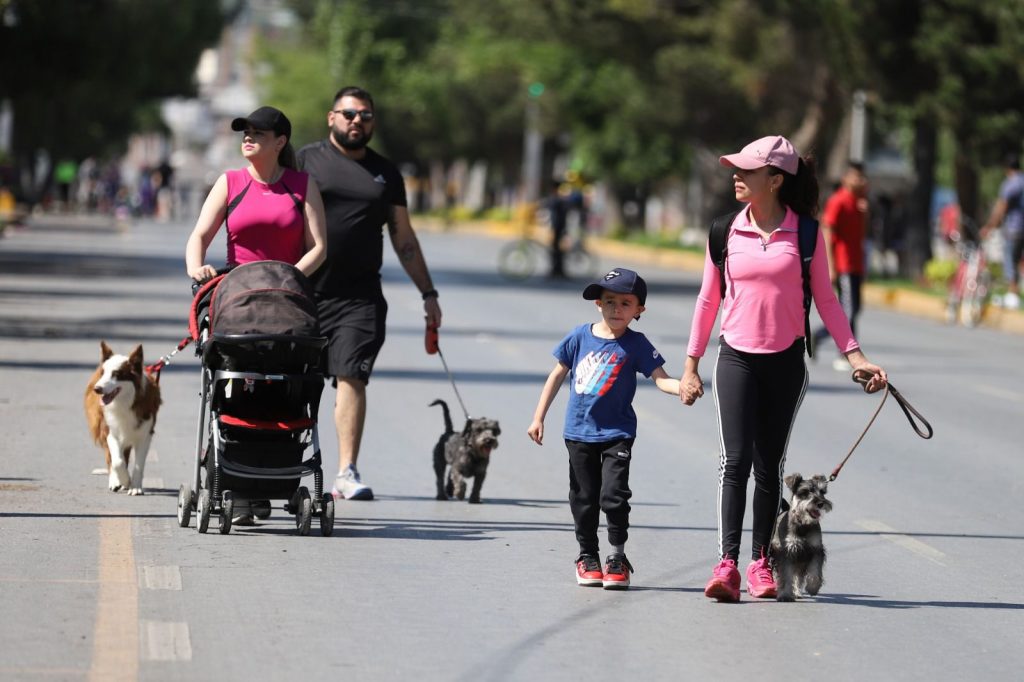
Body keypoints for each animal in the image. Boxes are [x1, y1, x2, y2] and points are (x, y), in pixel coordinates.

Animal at [84, 341, 162, 495]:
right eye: (103, 373)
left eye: (116, 374)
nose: (97, 389)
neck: (124, 403)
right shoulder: (110, 432)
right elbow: (117, 462)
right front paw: (124, 480)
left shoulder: (145, 435)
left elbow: (138, 465)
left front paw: (135, 486)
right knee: (112, 459)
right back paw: (115, 482)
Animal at [770, 473, 833, 601]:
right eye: (805, 491)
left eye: (822, 491)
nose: (820, 503)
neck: (803, 524)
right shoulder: (786, 552)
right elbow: (786, 575)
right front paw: (785, 595)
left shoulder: (816, 550)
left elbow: (815, 572)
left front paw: (813, 588)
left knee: (797, 577)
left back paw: (797, 592)